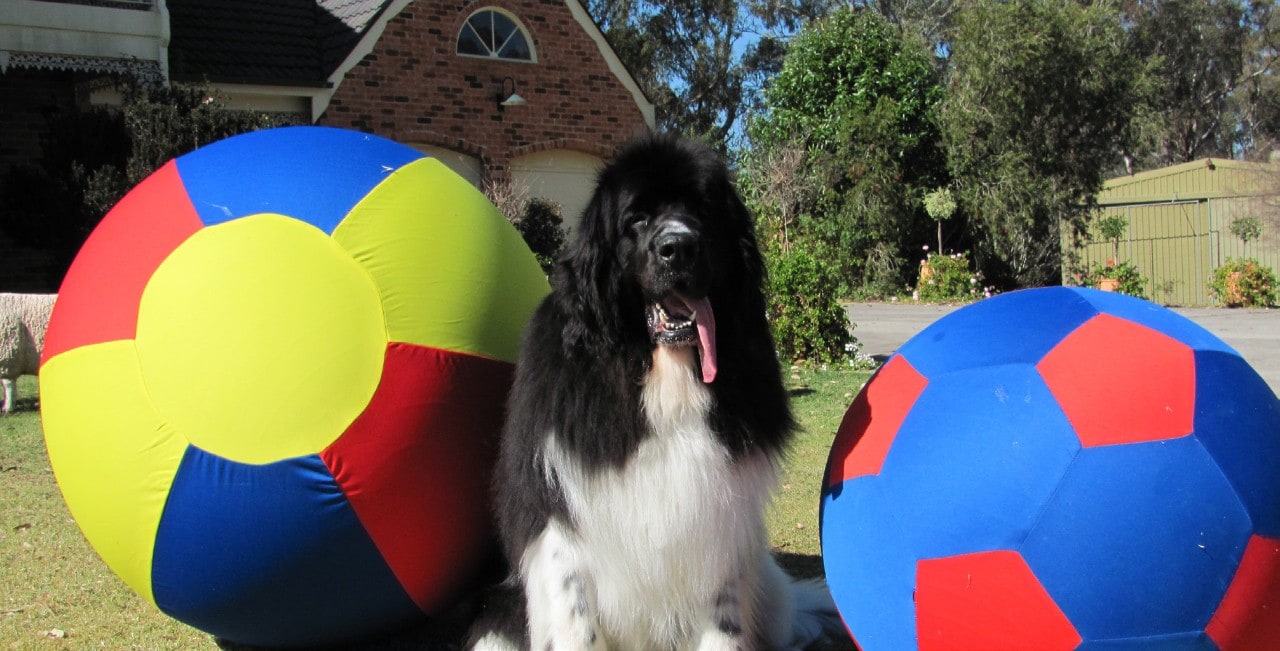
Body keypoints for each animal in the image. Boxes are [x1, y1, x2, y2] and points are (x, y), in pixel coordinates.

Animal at [471, 134, 839, 647]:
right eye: (637, 219)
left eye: (704, 211)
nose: (678, 247)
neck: (666, 379)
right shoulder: (558, 526)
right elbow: (577, 619)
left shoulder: (719, 521)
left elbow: (723, 622)